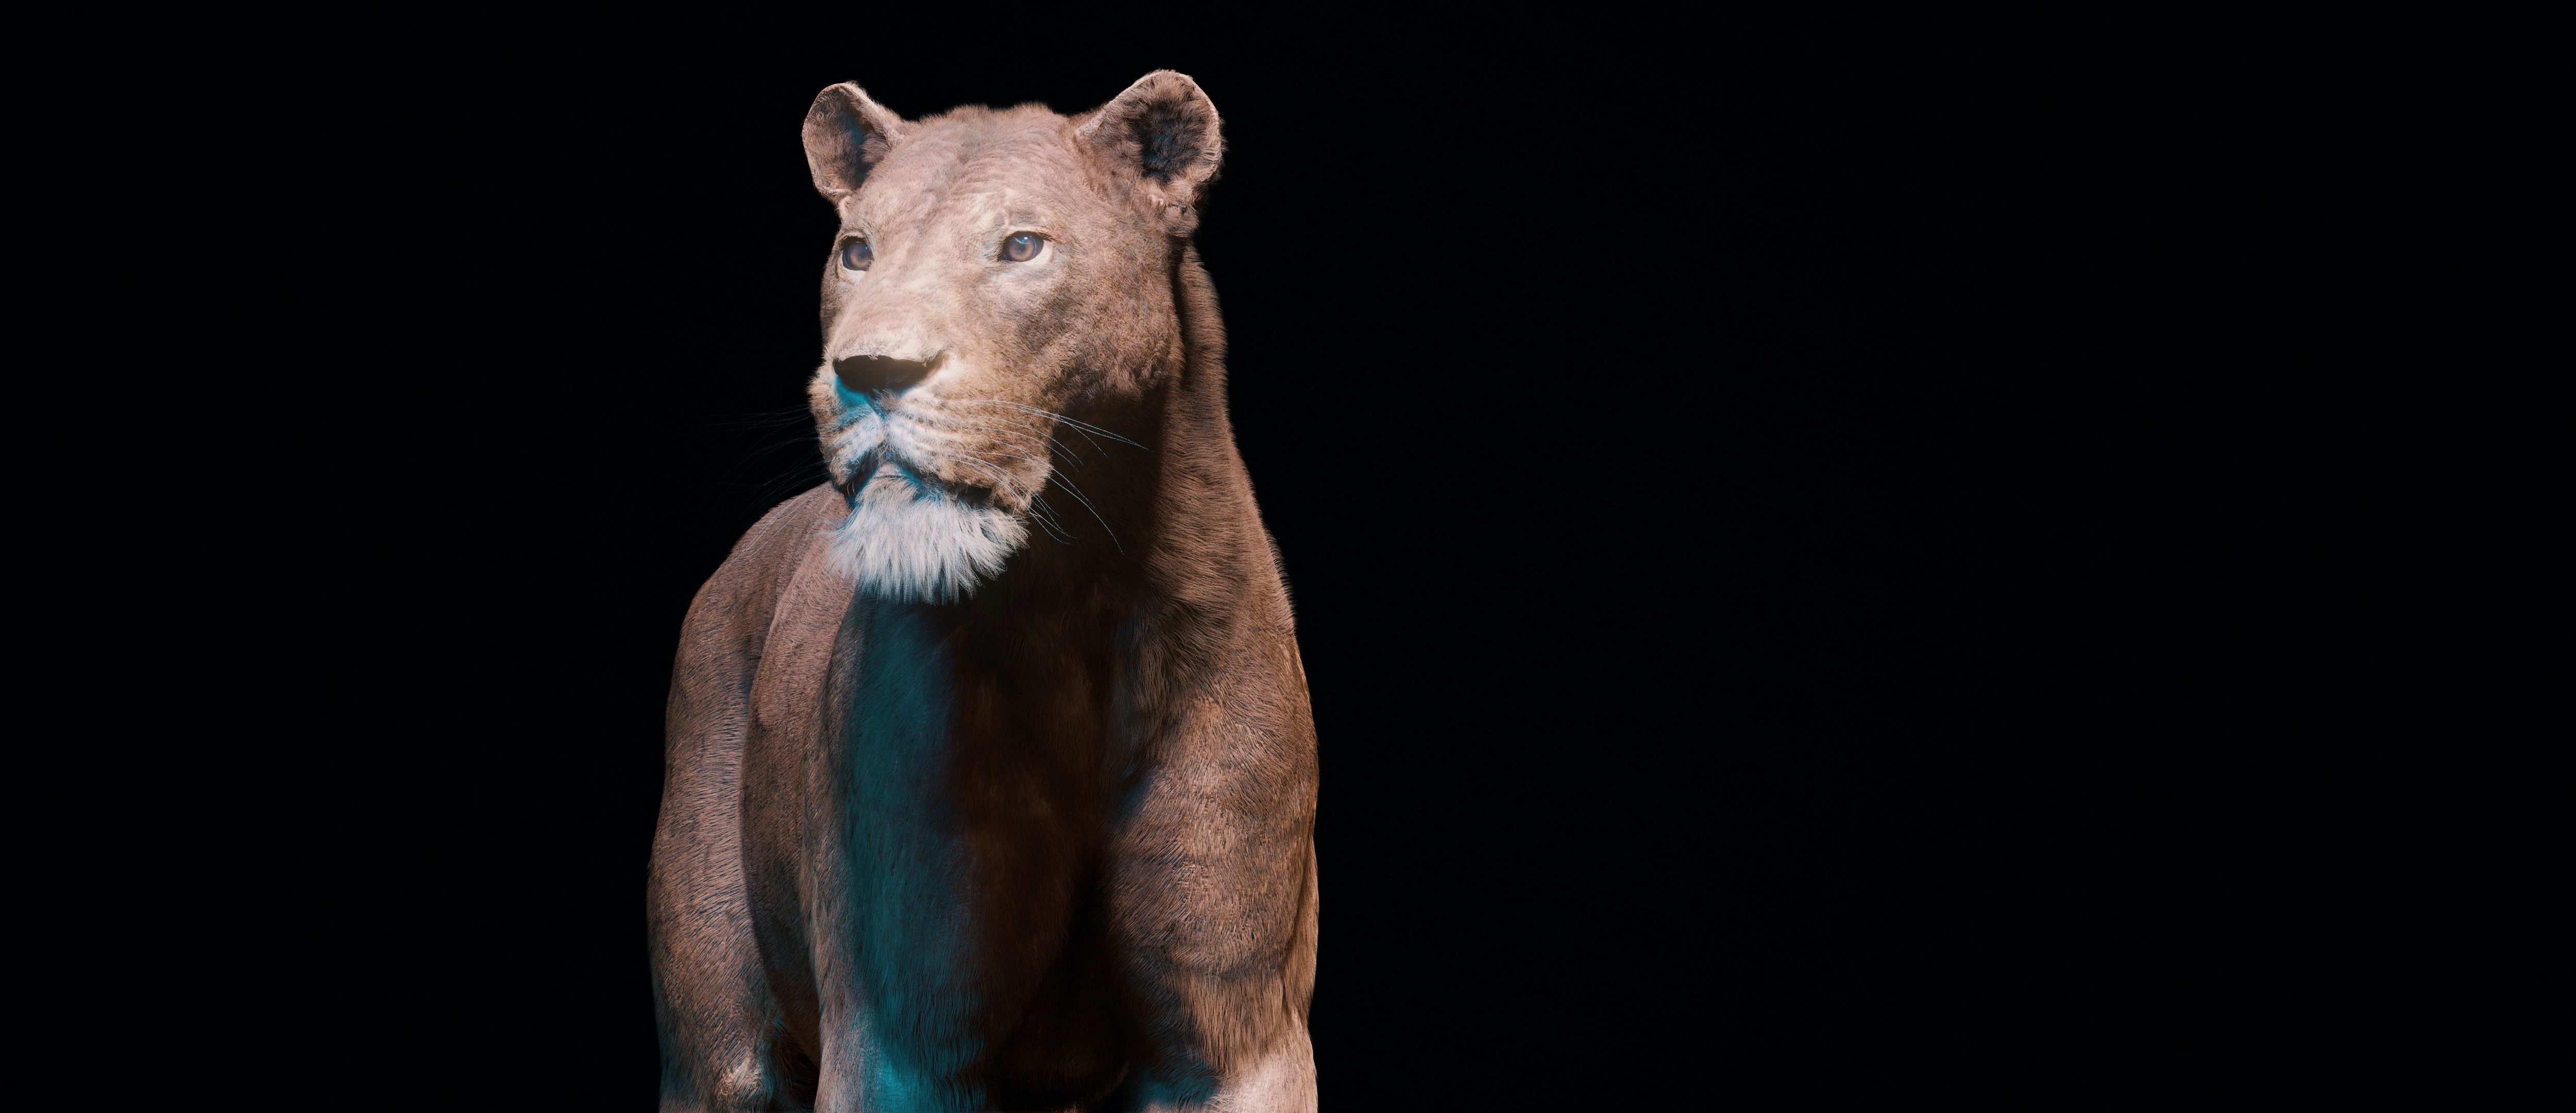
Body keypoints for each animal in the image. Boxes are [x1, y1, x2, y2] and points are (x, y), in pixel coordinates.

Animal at [647, 72, 1319, 1113]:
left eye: (1021, 246)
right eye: (857, 252)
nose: (869, 373)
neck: (1069, 602)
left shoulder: (1236, 1044)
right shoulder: (901, 1043)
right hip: (719, 1051)